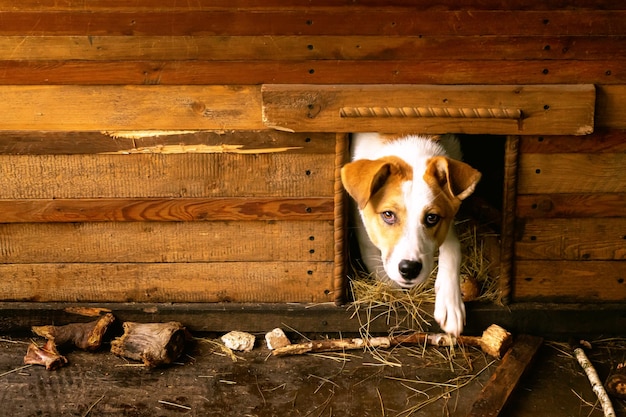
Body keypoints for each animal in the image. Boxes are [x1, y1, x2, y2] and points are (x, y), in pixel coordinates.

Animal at [342, 133, 478, 334]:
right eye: (388, 215)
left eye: (431, 218)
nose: (409, 269)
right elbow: (377, 264)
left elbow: (453, 247)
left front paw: (449, 302)